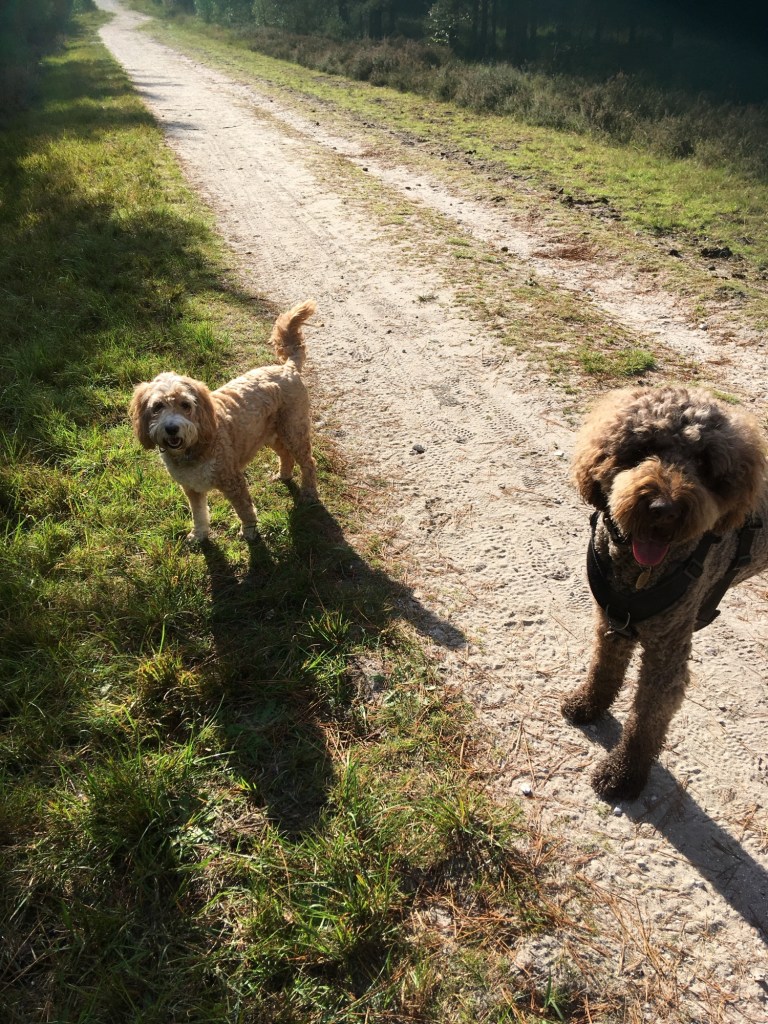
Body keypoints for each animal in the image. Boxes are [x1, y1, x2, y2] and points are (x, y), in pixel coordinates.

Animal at [129, 300, 318, 542]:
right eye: (157, 407)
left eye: (185, 405)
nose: (172, 428)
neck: (194, 446)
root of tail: (288, 368)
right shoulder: (191, 488)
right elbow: (199, 513)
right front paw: (199, 534)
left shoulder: (232, 480)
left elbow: (244, 508)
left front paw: (249, 532)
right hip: (270, 435)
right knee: (286, 455)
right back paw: (283, 475)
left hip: (294, 431)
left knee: (308, 462)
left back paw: (309, 494)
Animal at [562, 385, 768, 800]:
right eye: (644, 447)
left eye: (704, 463)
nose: (664, 509)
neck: (639, 571)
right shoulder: (612, 621)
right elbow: (603, 670)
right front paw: (589, 704)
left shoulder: (667, 653)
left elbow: (646, 721)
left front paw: (624, 775)